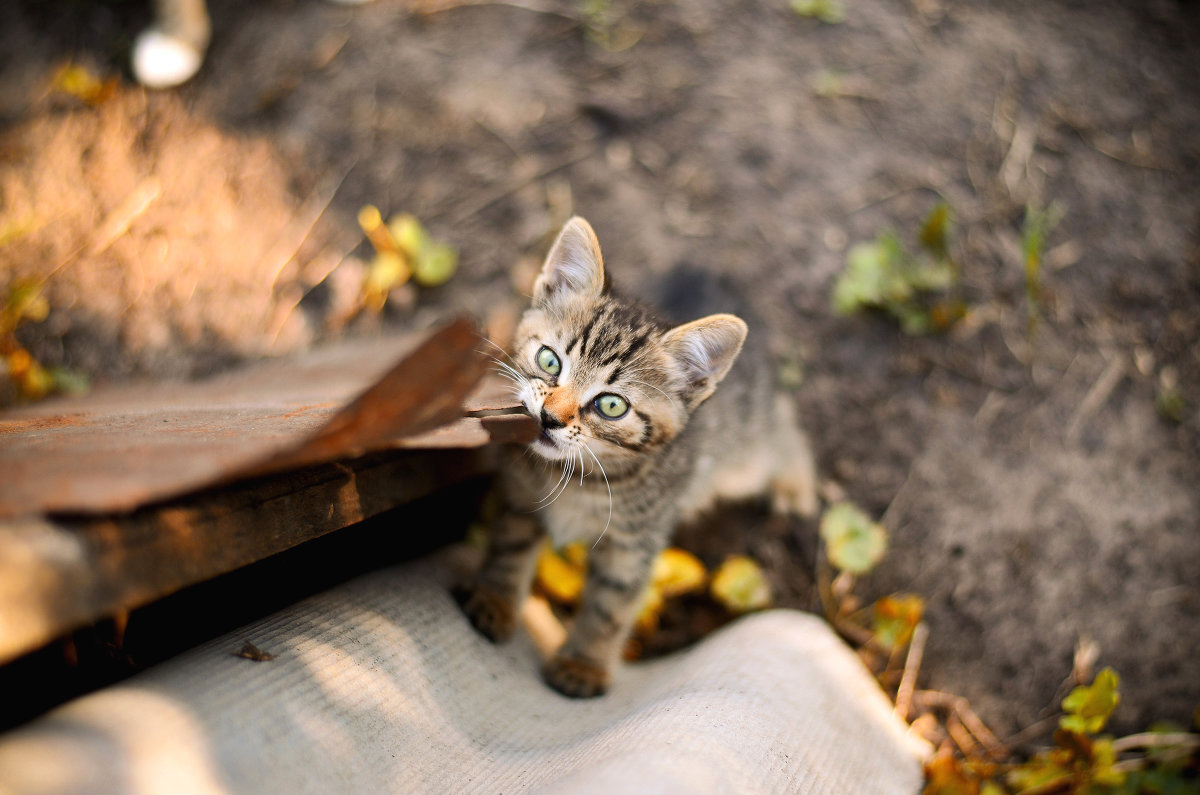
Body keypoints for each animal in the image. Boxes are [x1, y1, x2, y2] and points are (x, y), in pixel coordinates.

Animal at [458, 216, 816, 696]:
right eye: (549, 361)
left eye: (612, 405)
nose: (550, 418)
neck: (580, 478)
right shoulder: (519, 499)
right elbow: (508, 551)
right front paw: (496, 600)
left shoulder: (634, 547)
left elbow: (609, 608)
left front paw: (584, 664)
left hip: (745, 453)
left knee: (783, 422)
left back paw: (795, 483)